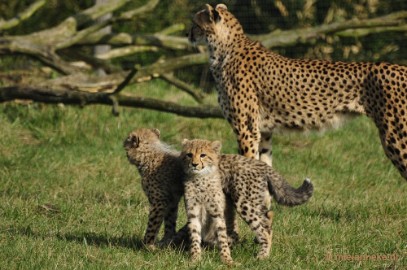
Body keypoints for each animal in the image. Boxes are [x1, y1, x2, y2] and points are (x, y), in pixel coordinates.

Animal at [190, 3, 407, 179]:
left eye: (195, 24)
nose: (189, 36)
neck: (224, 49)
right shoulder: (264, 132)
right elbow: (263, 169)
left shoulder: (247, 130)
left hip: (396, 135)